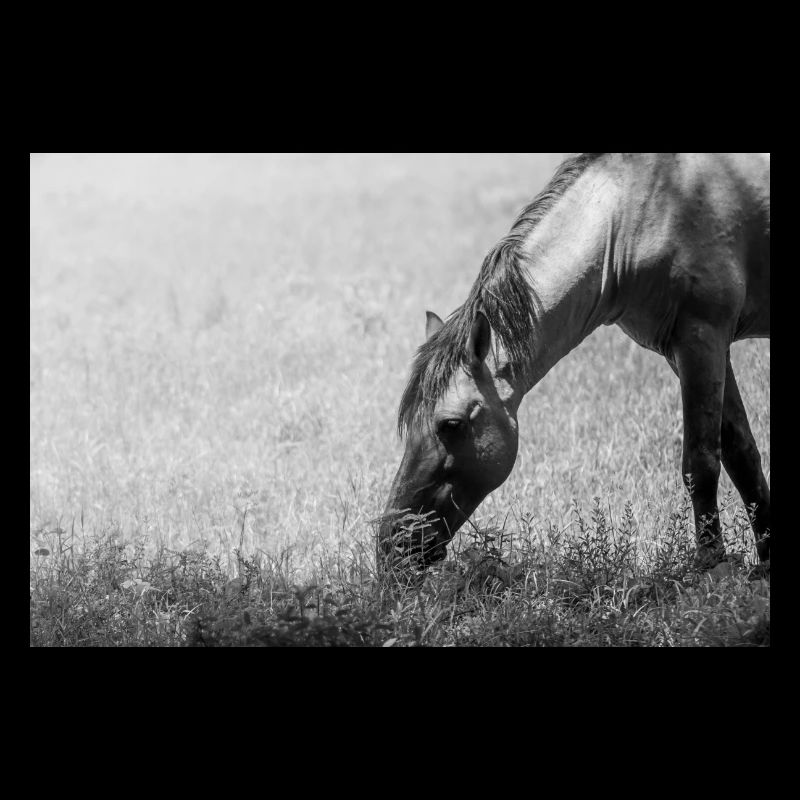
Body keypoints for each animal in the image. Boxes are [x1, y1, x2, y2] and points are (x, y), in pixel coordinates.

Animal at [380, 153, 770, 573]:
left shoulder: (702, 338)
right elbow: (742, 454)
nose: (392, 544)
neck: (639, 211)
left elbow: (702, 462)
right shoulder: (689, 351)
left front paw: (713, 567)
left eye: (450, 425)